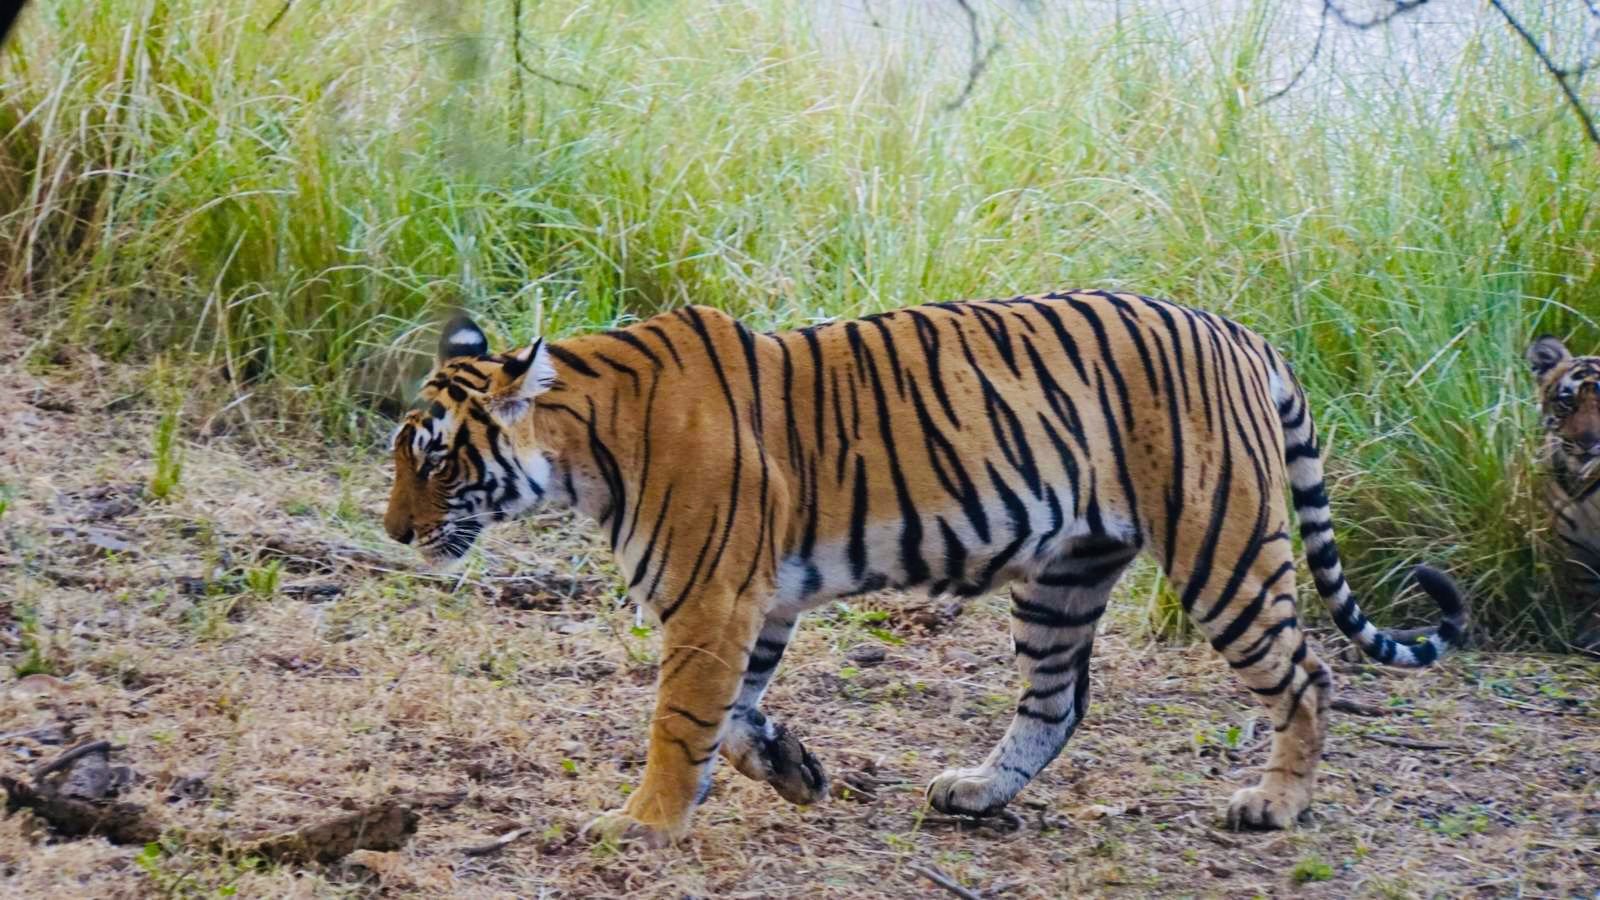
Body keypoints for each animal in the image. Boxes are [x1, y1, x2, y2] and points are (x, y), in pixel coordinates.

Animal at [384, 290, 1467, 847]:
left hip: (1221, 545)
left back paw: (1274, 804)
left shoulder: (712, 599)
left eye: (433, 456)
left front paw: (639, 823)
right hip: (1062, 576)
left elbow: (679, 721)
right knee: (1055, 704)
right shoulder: (758, 601)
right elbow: (731, 716)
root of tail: (1243, 333)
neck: (583, 445)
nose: (393, 532)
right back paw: (976, 793)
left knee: (1307, 675)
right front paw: (794, 769)